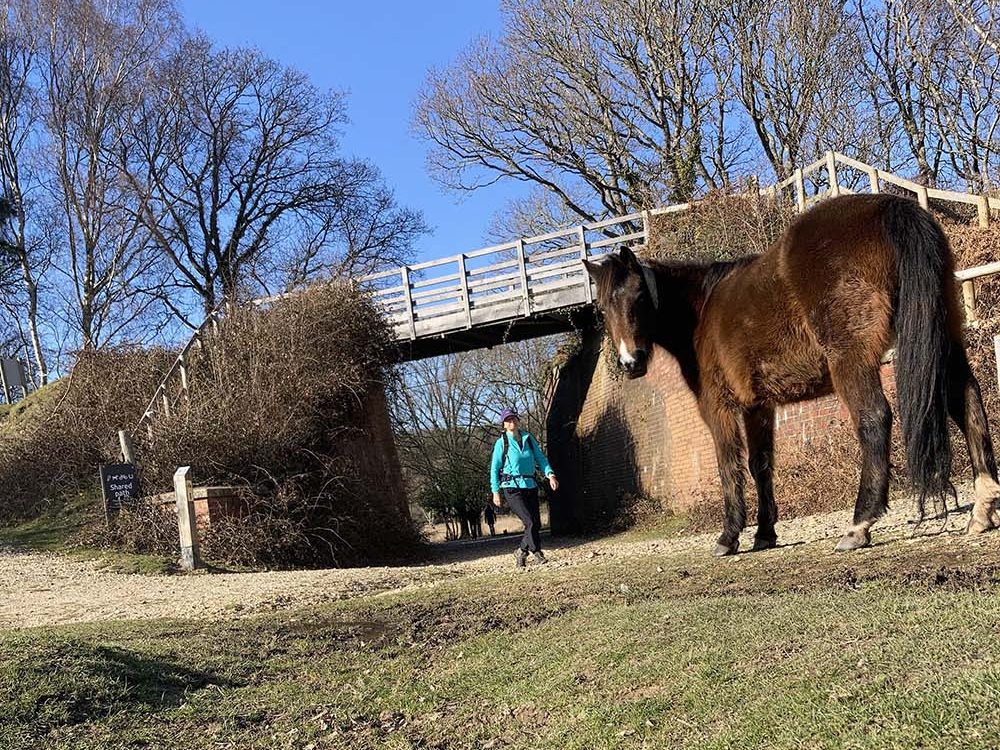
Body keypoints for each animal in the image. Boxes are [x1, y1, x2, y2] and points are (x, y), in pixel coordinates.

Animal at [584, 193, 1000, 555]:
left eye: (639, 296)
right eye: (602, 308)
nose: (631, 362)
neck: (700, 312)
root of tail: (890, 207)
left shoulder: (719, 409)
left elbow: (729, 466)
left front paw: (729, 537)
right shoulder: (758, 407)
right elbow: (761, 465)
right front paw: (764, 534)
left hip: (852, 362)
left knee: (874, 419)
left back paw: (859, 524)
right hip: (942, 338)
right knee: (969, 404)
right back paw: (983, 508)